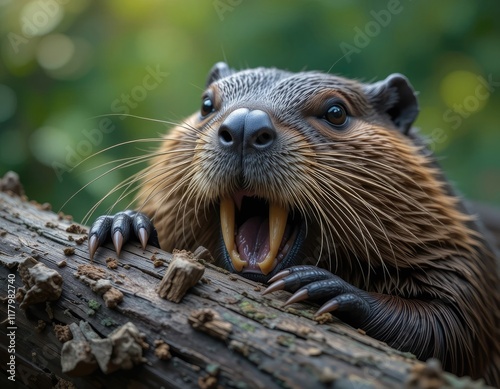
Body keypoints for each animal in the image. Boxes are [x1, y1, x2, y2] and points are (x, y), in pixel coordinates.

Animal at [89, 63, 500, 382]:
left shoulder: (465, 256)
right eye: (207, 103)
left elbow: (453, 328)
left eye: (336, 111)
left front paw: (323, 287)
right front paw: (123, 224)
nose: (244, 125)